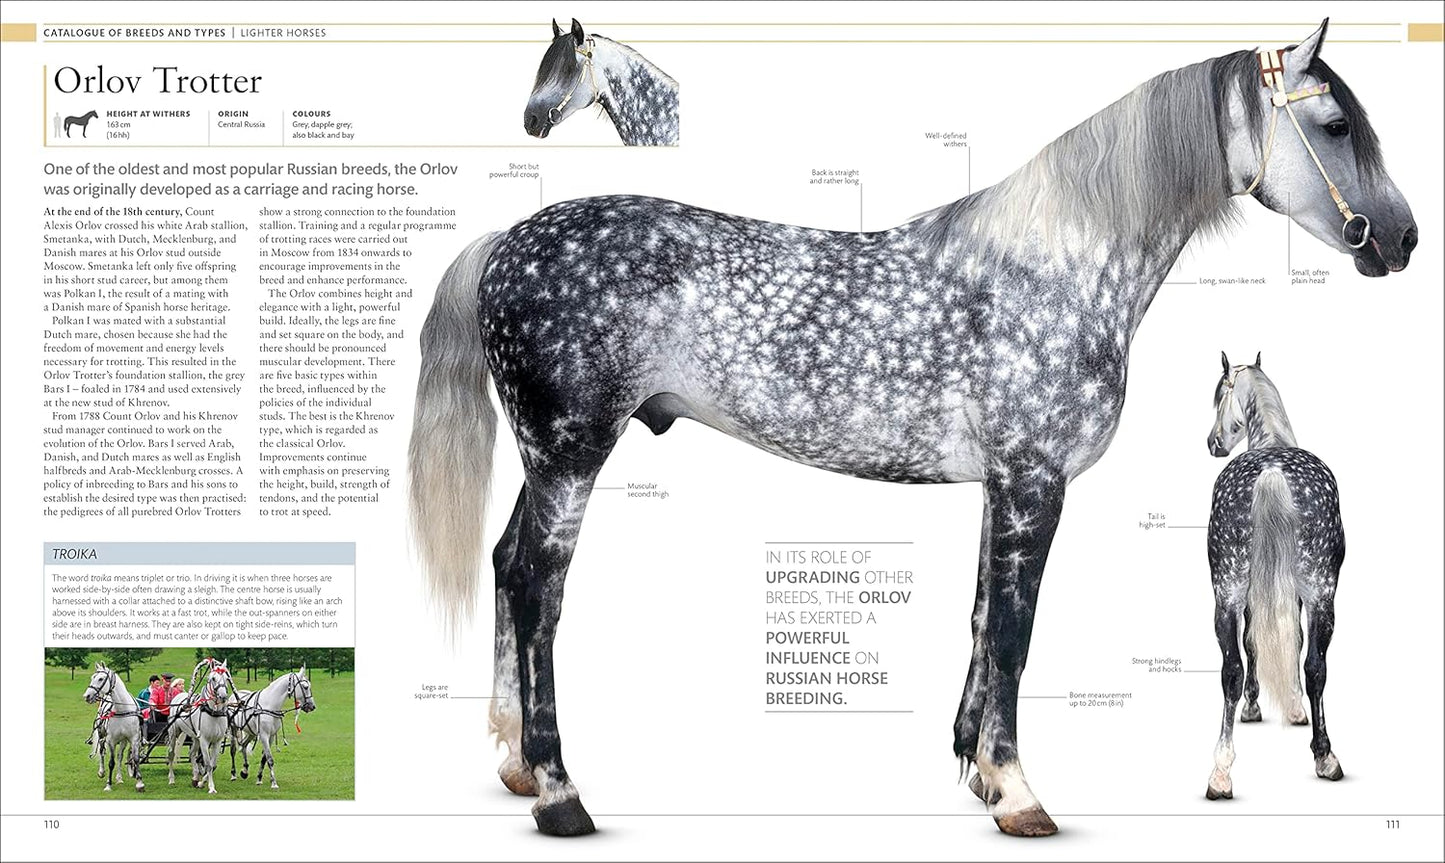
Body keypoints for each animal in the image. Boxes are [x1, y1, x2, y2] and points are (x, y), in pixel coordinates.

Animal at [81, 663, 145, 792]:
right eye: (92, 677)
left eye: (100, 678)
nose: (87, 696)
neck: (123, 710)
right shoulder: (111, 740)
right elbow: (111, 762)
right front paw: (108, 784)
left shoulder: (134, 739)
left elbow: (135, 759)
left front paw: (139, 783)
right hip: (102, 735)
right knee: (101, 752)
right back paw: (101, 772)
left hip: (123, 741)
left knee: (120, 757)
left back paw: (119, 778)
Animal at [164, 662, 236, 793]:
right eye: (213, 678)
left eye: (227, 678)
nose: (223, 696)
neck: (214, 713)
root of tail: (179, 695)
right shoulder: (204, 740)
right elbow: (208, 764)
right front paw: (211, 787)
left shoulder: (217, 741)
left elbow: (212, 764)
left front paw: (201, 782)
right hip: (174, 733)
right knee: (171, 754)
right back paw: (171, 779)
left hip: (195, 738)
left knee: (192, 754)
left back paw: (195, 777)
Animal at [1203, 353, 1346, 801]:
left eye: (1217, 396)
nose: (1213, 443)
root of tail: (1271, 469)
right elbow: (1281, 642)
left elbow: (1263, 645)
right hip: (1316, 593)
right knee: (1312, 666)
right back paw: (1323, 757)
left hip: (1231, 593)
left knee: (1236, 669)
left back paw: (1222, 774)